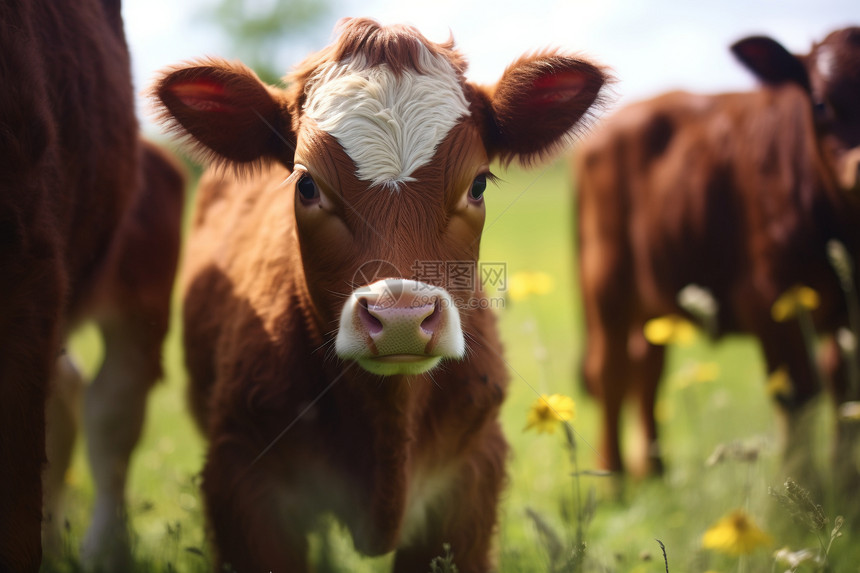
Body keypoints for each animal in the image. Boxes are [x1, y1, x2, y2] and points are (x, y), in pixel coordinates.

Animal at [576, 27, 860, 488]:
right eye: (820, 103)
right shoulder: (772, 299)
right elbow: (797, 394)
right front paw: (802, 489)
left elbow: (844, 388)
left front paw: (845, 482)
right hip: (607, 285)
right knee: (612, 371)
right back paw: (614, 478)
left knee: (646, 368)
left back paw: (654, 471)